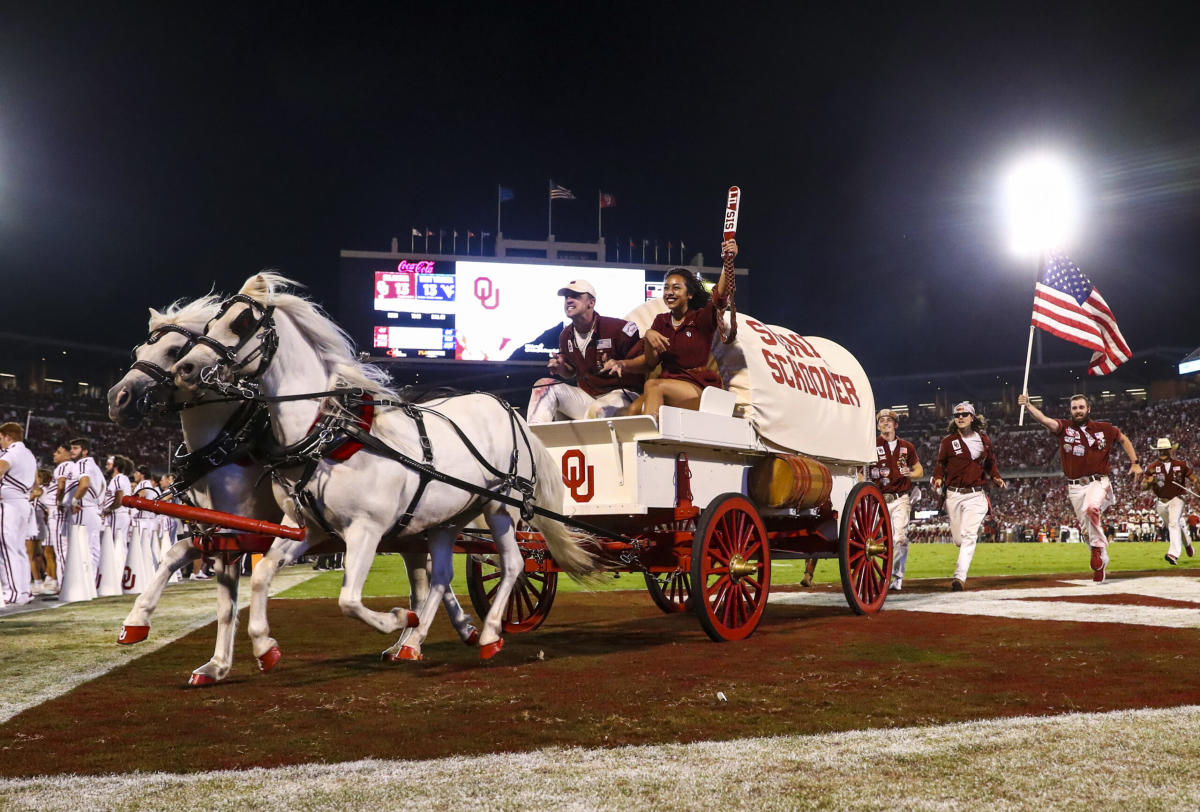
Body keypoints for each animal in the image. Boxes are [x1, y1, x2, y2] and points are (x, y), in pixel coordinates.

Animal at [172, 272, 595, 657]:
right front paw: (264, 645)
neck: (332, 434)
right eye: (210, 322)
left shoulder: (366, 529)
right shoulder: (307, 527)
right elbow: (261, 575)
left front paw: (398, 618)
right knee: (443, 576)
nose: (185, 369)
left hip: (501, 506)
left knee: (513, 565)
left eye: (241, 322)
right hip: (448, 518)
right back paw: (413, 643)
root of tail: (510, 409)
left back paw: (488, 634)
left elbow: (348, 600)